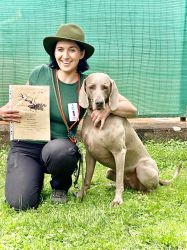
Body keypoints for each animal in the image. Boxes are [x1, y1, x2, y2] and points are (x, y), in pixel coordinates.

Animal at [77, 72, 180, 205]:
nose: (99, 103)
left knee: (151, 189)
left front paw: (117, 200)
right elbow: (86, 179)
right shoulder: (90, 154)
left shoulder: (119, 152)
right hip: (109, 172)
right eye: (91, 87)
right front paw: (80, 195)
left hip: (143, 168)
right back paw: (112, 186)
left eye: (105, 87)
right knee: (126, 185)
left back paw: (142, 195)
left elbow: (119, 180)